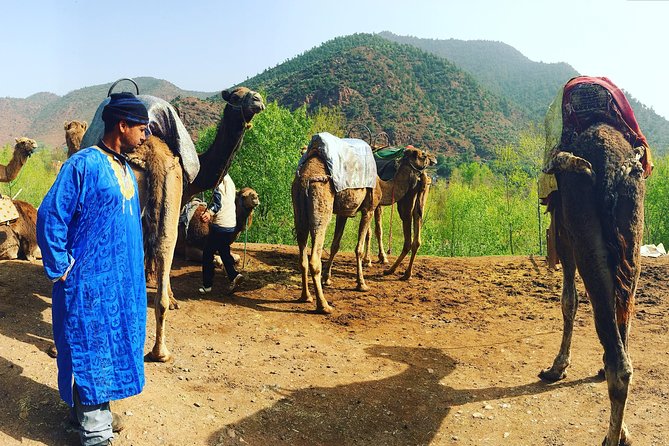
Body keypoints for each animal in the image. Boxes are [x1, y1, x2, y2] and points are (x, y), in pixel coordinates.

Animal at [538, 123, 646, 445]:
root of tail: (614, 166)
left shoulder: (563, 234)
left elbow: (568, 301)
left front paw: (557, 367)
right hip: (632, 236)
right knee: (623, 320)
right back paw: (622, 432)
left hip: (582, 229)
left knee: (619, 365)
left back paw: (612, 438)